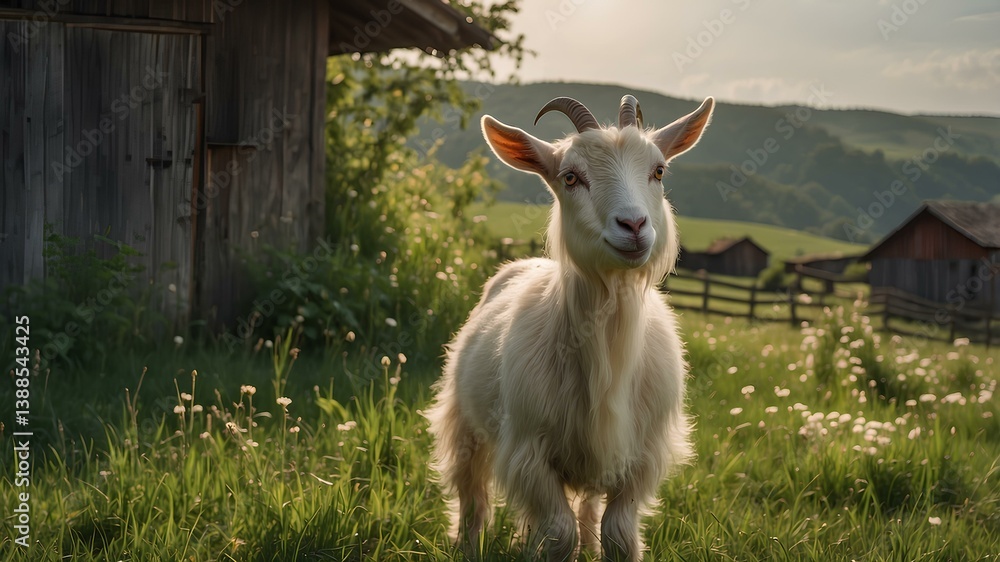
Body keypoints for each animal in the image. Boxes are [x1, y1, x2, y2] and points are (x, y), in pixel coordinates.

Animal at [426, 94, 714, 561]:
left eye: (658, 171)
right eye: (571, 177)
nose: (634, 225)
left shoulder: (640, 457)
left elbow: (619, 534)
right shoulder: (529, 453)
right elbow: (558, 533)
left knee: (588, 509)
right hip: (464, 422)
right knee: (473, 495)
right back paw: (468, 544)